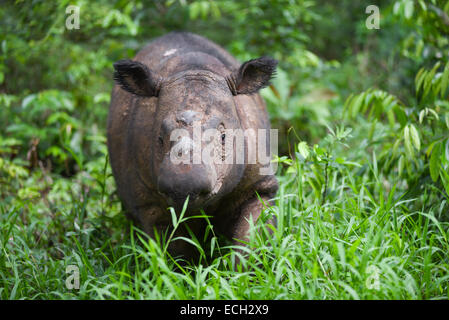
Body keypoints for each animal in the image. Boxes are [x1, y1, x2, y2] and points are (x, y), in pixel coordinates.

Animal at [107, 31, 278, 258]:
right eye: (159, 139)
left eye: (223, 138)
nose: (184, 187)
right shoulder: (151, 202)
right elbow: (175, 252)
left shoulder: (258, 186)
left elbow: (252, 239)